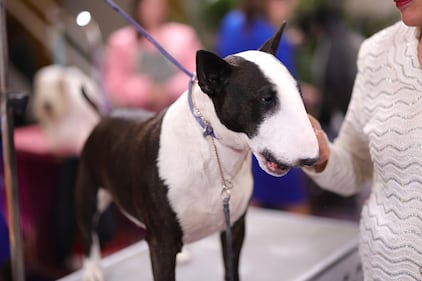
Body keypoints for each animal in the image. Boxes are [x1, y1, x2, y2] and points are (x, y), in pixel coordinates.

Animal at [76, 24, 320, 280]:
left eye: (299, 92)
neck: (214, 151)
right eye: (266, 98)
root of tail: (104, 118)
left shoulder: (234, 226)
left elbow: (231, 268)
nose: (313, 158)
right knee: (88, 232)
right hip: (88, 193)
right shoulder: (161, 242)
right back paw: (92, 270)